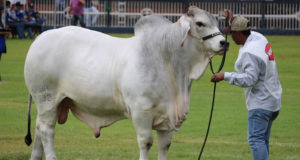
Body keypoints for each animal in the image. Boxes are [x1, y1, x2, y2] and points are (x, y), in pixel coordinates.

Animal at [25, 6, 227, 160]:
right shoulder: (141, 112)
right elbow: (146, 142)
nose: (224, 42)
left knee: (38, 128)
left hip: (51, 103)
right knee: (47, 130)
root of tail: (41, 37)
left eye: (217, 22)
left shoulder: (167, 118)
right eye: (200, 23)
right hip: (47, 98)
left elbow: (165, 145)